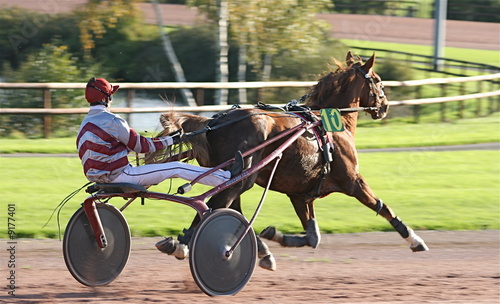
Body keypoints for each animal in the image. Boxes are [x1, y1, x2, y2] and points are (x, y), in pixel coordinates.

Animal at [154, 52, 428, 270]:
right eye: (378, 81)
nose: (384, 106)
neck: (330, 123)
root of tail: (215, 122)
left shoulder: (300, 194)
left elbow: (313, 236)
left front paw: (276, 235)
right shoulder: (352, 181)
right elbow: (382, 206)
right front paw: (414, 239)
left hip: (236, 178)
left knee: (229, 209)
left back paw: (260, 251)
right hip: (241, 178)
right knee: (213, 206)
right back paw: (184, 244)